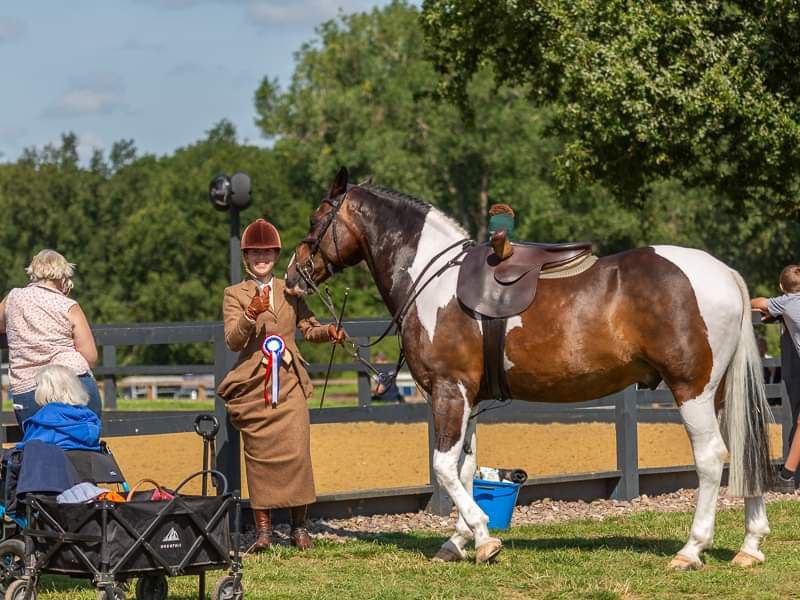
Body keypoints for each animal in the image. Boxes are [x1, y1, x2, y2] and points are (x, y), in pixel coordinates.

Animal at [284, 168, 772, 568]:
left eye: (315, 220)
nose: (291, 278)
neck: (433, 280)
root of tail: (724, 273)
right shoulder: (468, 398)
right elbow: (465, 468)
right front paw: (458, 540)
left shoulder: (447, 390)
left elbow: (443, 466)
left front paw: (483, 538)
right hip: (720, 392)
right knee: (743, 449)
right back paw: (750, 546)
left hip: (692, 390)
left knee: (711, 458)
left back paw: (691, 550)